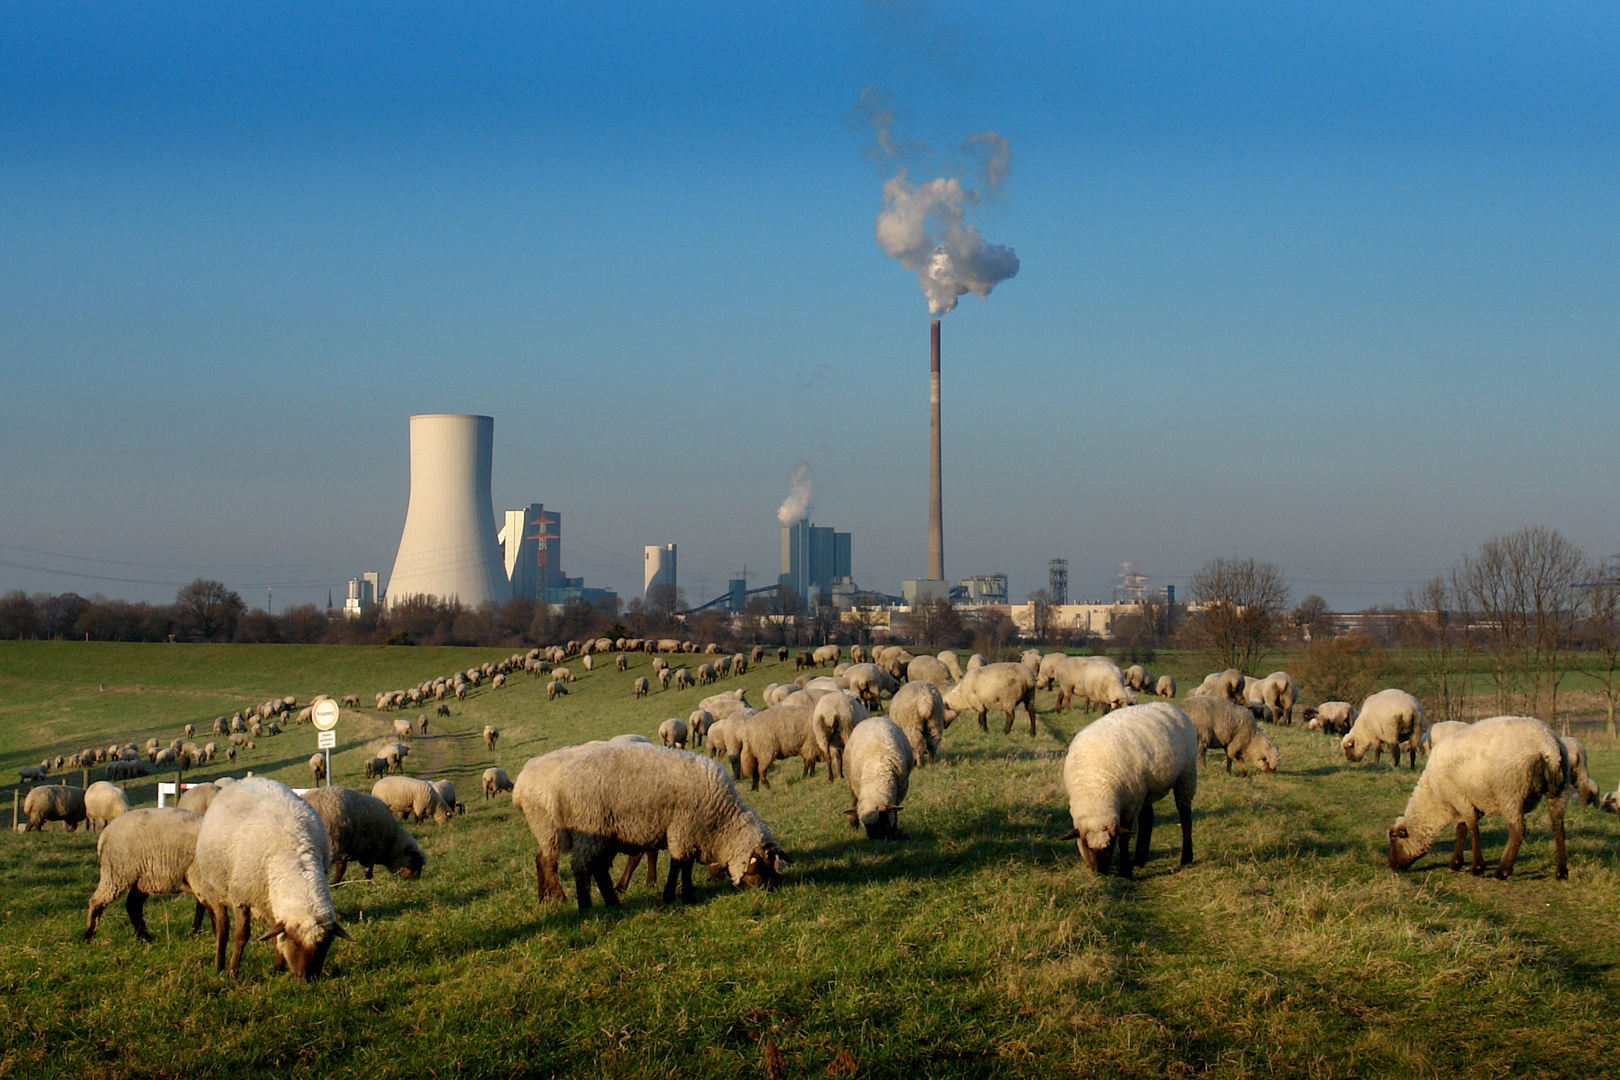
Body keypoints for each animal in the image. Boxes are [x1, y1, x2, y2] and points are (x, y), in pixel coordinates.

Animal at [83, 806, 208, 939]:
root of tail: (104, 835)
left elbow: (202, 905)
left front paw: (195, 931)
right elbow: (203, 906)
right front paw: (196, 931)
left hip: (143, 878)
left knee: (133, 904)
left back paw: (144, 936)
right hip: (117, 871)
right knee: (97, 900)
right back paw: (88, 935)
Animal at [189, 777, 354, 977]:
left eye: (324, 946)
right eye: (295, 942)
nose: (307, 978)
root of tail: (249, 779)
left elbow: (275, 932)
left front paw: (278, 968)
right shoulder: (240, 898)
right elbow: (241, 935)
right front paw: (233, 971)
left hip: (264, 898)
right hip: (217, 889)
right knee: (223, 927)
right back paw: (219, 964)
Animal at [505, 738, 784, 906]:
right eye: (763, 868)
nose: (771, 891)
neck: (719, 822)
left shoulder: (661, 828)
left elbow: (671, 861)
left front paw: (675, 892)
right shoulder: (681, 828)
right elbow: (680, 864)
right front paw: (677, 896)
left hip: (596, 833)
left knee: (581, 865)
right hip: (579, 828)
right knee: (574, 865)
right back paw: (581, 905)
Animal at [1056, 702, 1198, 880]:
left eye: (1110, 845)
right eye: (1086, 845)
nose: (1101, 872)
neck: (1095, 786)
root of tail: (1169, 705)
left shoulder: (1129, 806)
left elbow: (1124, 839)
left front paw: (1124, 871)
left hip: (1186, 774)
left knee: (1185, 816)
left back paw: (1186, 858)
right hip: (1146, 790)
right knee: (1147, 818)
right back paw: (1139, 860)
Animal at [1380, 712, 1568, 880]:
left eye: (1394, 840)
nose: (1391, 865)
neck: (1434, 797)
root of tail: (1547, 745)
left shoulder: (1459, 797)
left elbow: (1472, 829)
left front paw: (1477, 868)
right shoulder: (1470, 800)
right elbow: (1462, 829)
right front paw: (1456, 863)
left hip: (1510, 792)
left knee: (1517, 830)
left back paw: (1502, 871)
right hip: (1558, 791)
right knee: (1558, 827)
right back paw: (1561, 872)